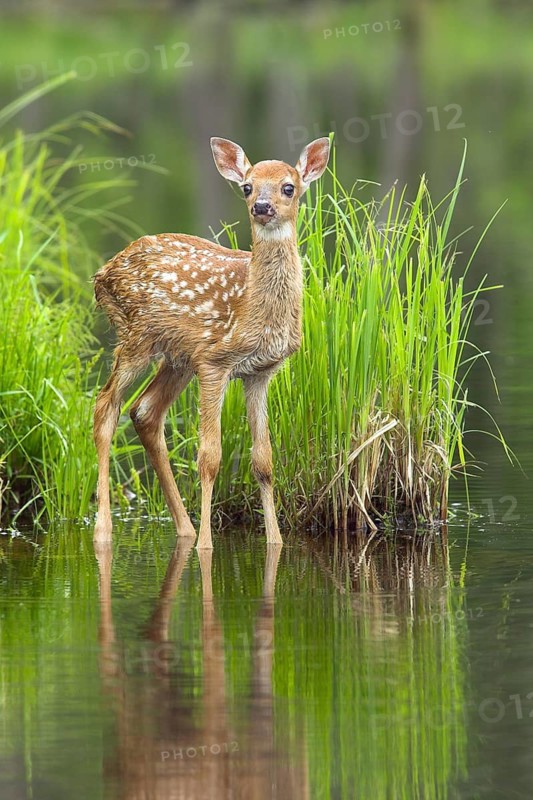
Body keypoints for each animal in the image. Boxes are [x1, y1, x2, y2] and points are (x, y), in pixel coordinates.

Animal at [93, 136, 331, 549]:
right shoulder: (214, 361)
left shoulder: (259, 372)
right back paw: (104, 530)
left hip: (176, 358)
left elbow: (264, 460)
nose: (261, 207)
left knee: (144, 411)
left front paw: (275, 541)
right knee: (105, 407)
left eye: (288, 187)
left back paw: (184, 529)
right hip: (136, 336)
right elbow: (209, 457)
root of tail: (102, 274)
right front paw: (206, 545)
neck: (252, 309)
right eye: (247, 187)